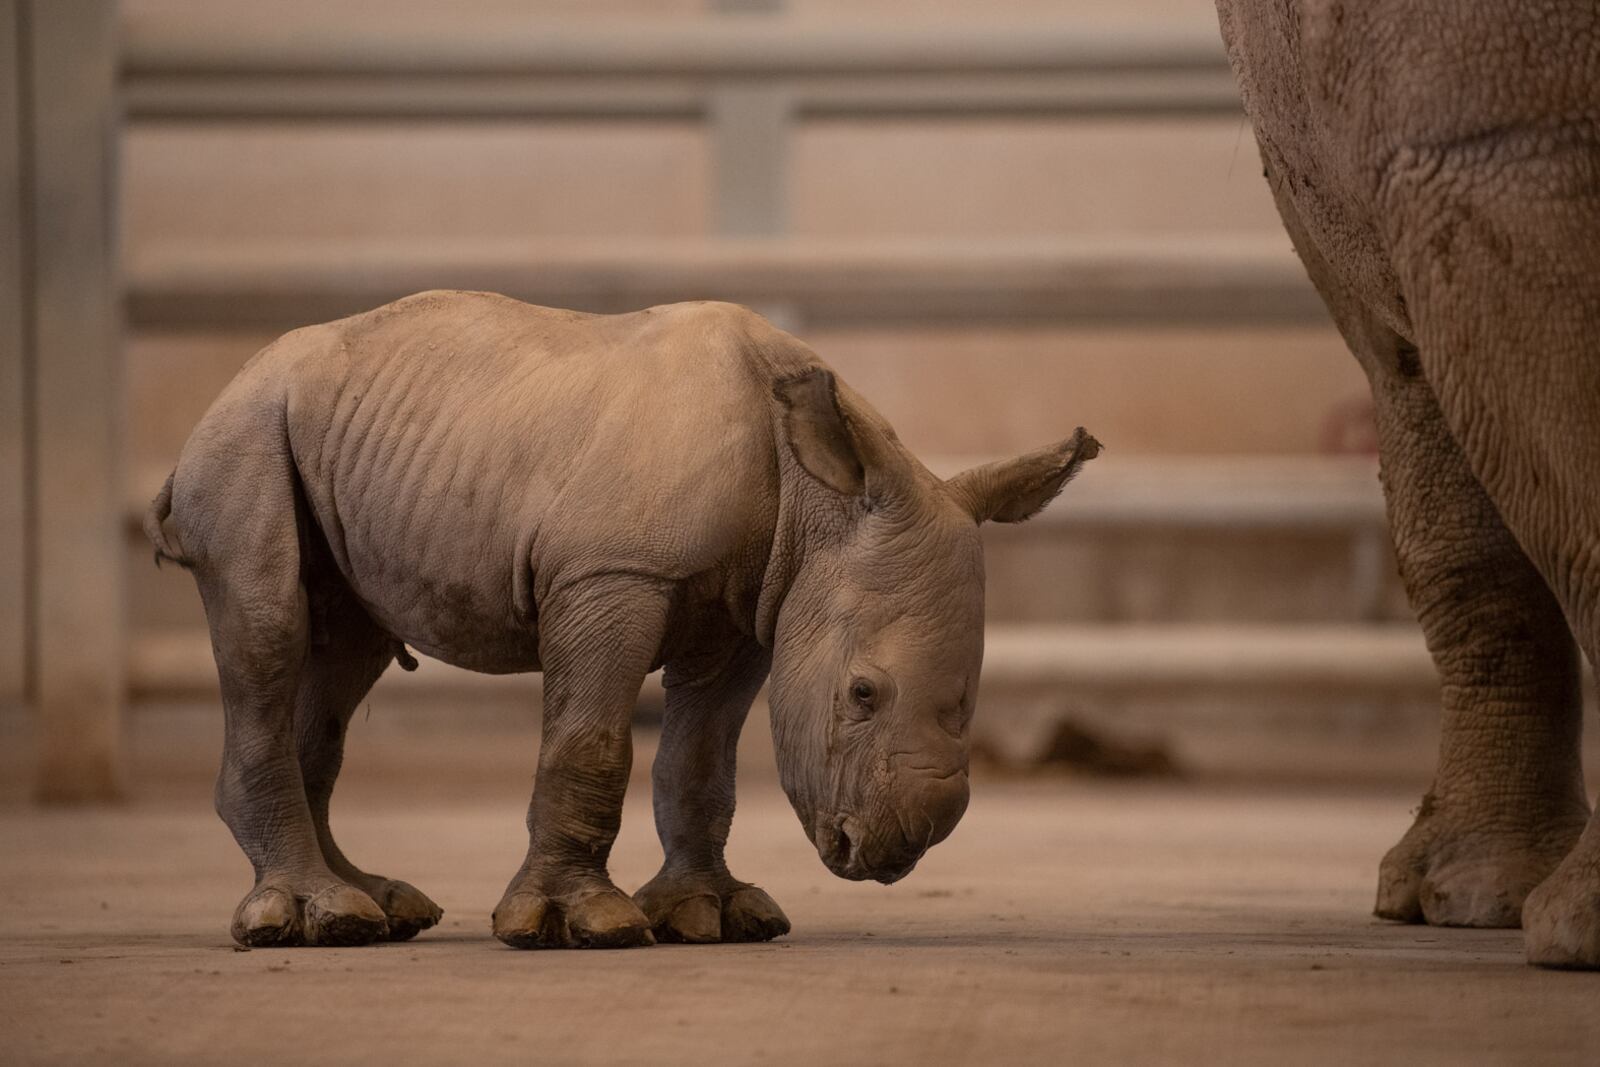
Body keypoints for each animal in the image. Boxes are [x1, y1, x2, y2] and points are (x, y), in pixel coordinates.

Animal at [147, 294, 1100, 953]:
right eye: (861, 694)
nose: (902, 844)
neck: (814, 502)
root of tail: (227, 390)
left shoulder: (749, 612)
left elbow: (701, 764)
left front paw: (712, 915)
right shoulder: (612, 574)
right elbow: (591, 742)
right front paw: (578, 926)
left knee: (345, 650)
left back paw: (373, 909)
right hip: (244, 436)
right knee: (268, 626)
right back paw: (306, 917)